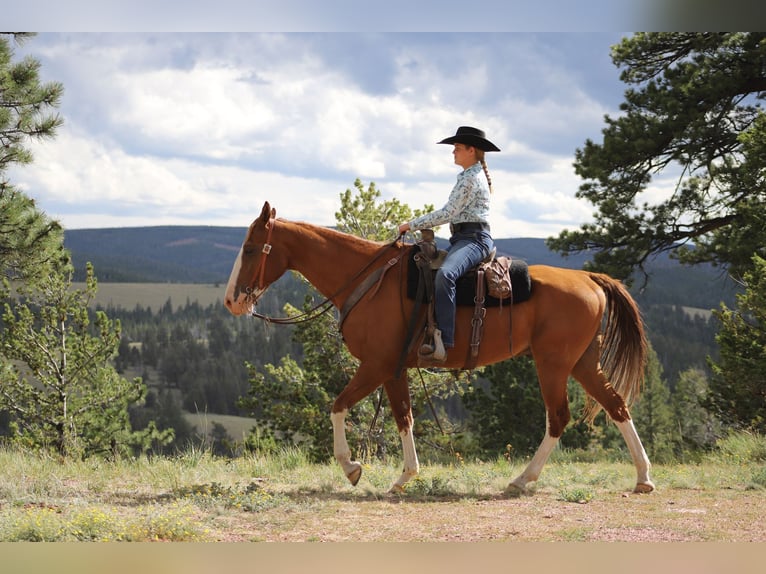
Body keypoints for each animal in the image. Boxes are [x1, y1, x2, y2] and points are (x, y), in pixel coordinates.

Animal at [225, 201, 656, 496]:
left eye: (251, 248)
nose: (231, 301)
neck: (368, 280)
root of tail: (589, 278)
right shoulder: (394, 369)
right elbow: (404, 418)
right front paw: (403, 477)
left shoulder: (377, 365)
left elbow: (339, 406)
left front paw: (353, 468)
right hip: (582, 361)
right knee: (616, 405)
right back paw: (643, 478)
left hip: (553, 363)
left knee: (559, 417)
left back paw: (522, 479)